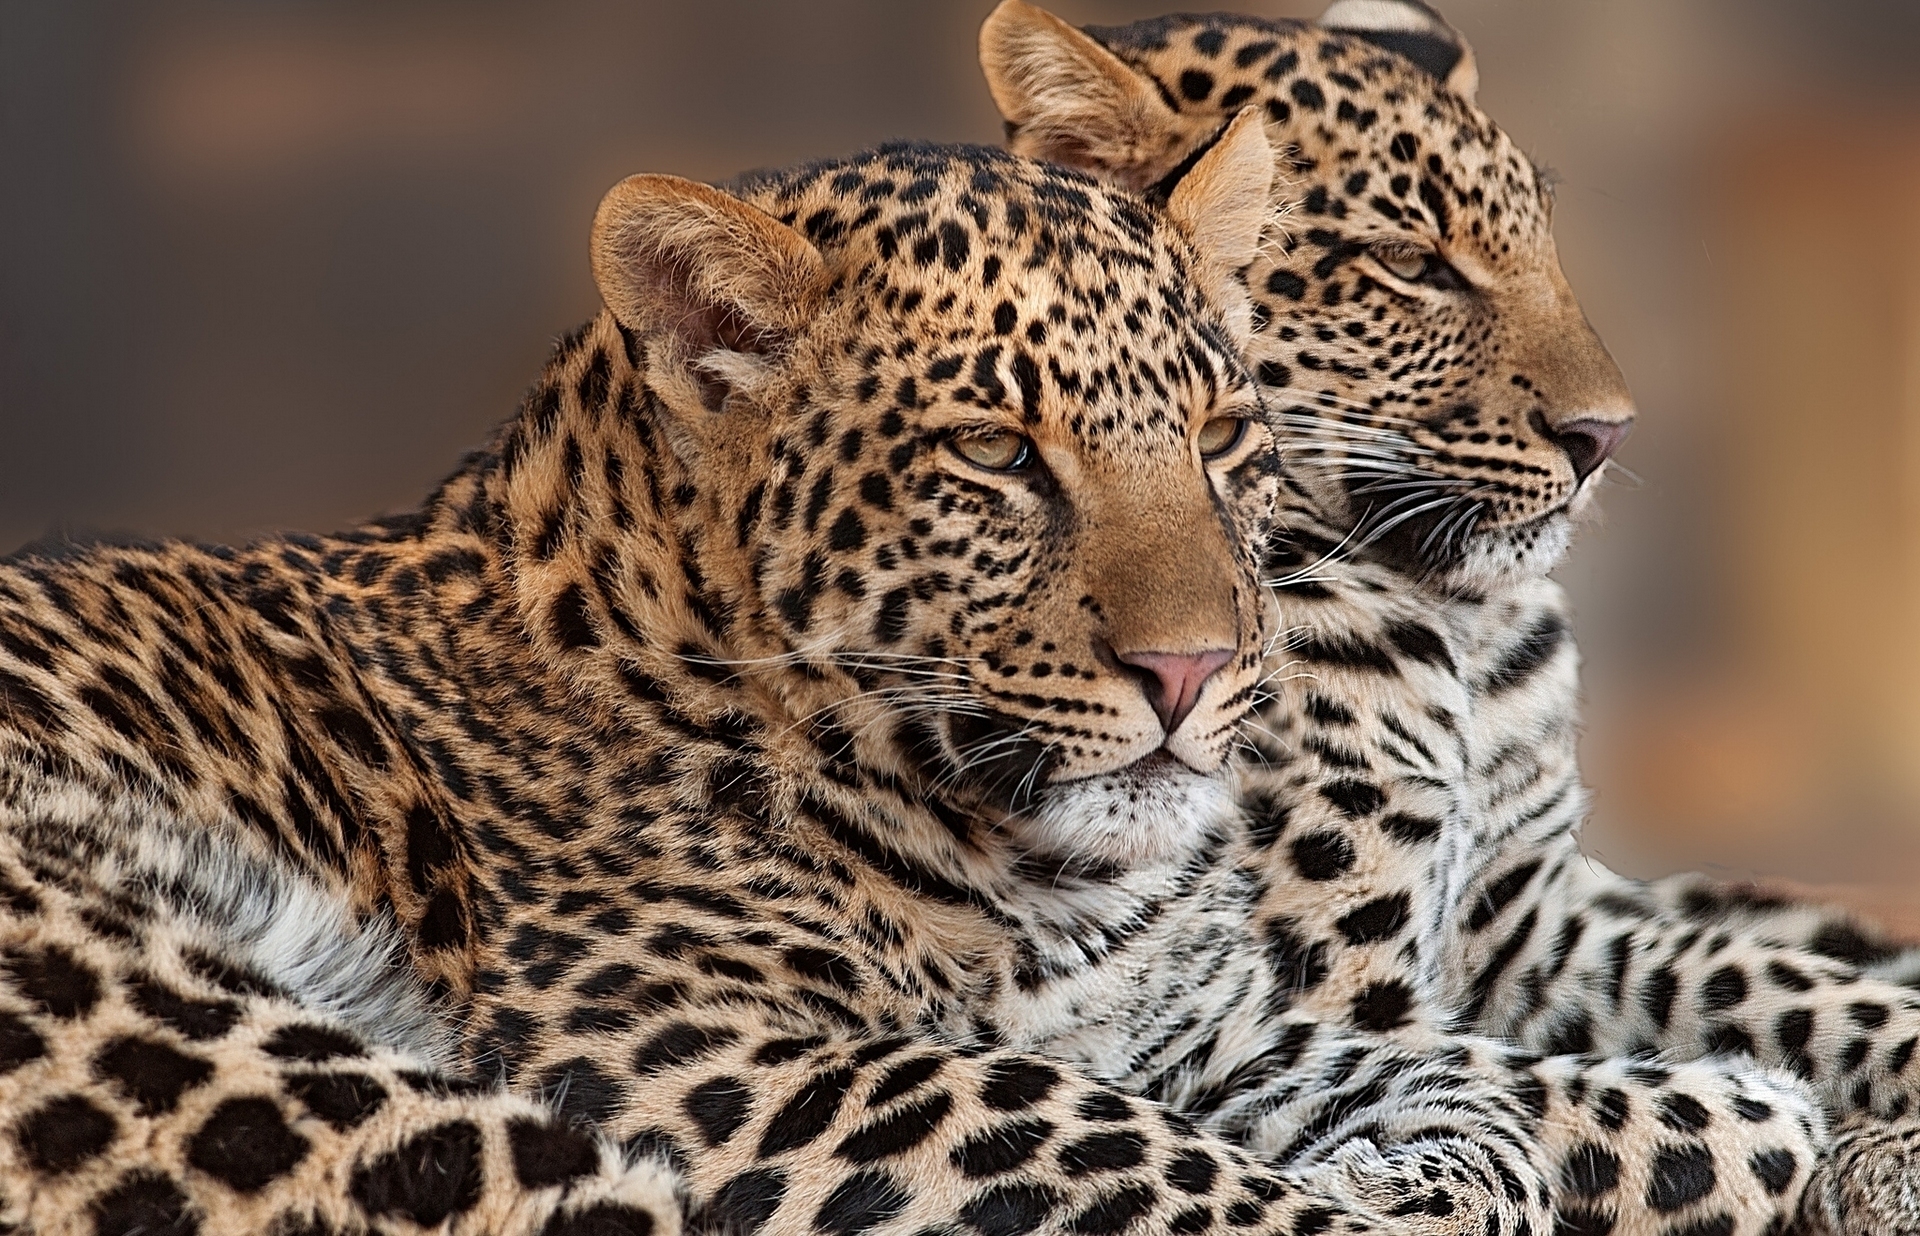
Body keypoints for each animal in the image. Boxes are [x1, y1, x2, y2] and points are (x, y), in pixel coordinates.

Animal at [0, 125, 1627, 1236]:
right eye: (994, 452)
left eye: (1223, 436)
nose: (1195, 669)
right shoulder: (699, 1055)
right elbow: (1091, 1127)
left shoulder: (1196, 1022)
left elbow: (1450, 1081)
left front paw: (1426, 1170)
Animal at [981, 1, 1920, 1232]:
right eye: (1407, 265)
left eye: (1544, 245)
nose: (1607, 435)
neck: (1464, 639)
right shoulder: (1329, 998)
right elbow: (1600, 1101)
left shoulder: (1538, 931)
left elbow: (1777, 983)